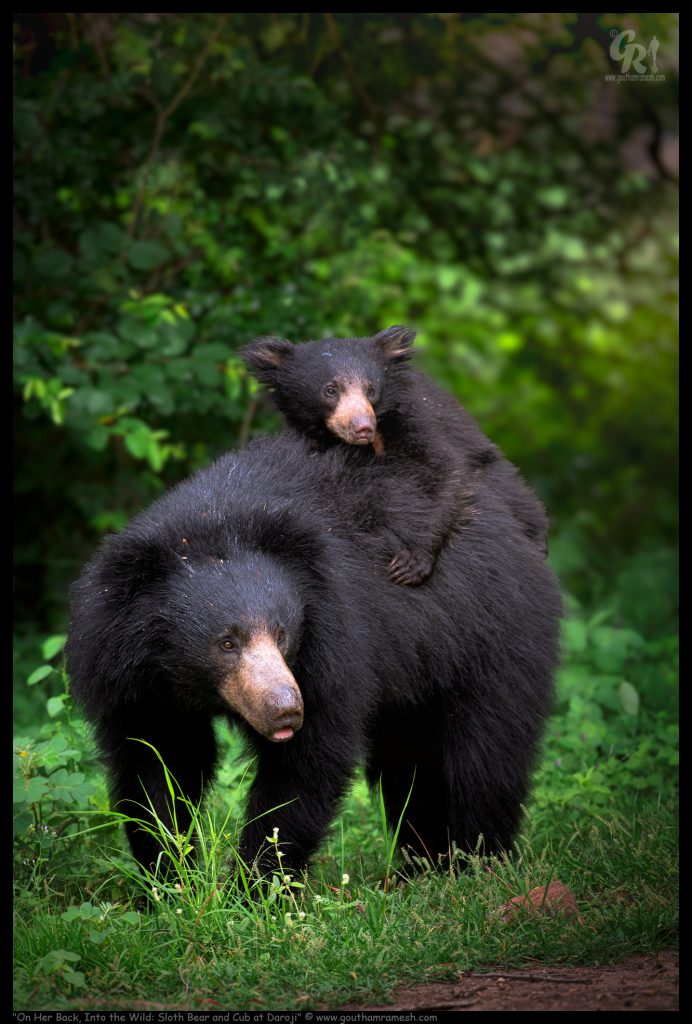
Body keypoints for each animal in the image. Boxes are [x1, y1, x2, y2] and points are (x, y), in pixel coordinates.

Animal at [66, 430, 561, 879]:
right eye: (227, 643)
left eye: (282, 633)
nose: (286, 708)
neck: (213, 521)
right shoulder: (132, 679)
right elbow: (158, 764)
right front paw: (168, 881)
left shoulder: (334, 633)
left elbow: (308, 762)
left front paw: (253, 888)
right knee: (409, 762)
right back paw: (422, 866)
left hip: (493, 634)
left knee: (484, 756)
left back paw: (475, 863)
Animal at [242, 326, 549, 586]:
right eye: (330, 390)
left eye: (371, 389)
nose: (363, 427)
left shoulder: (415, 420)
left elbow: (445, 471)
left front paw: (410, 563)